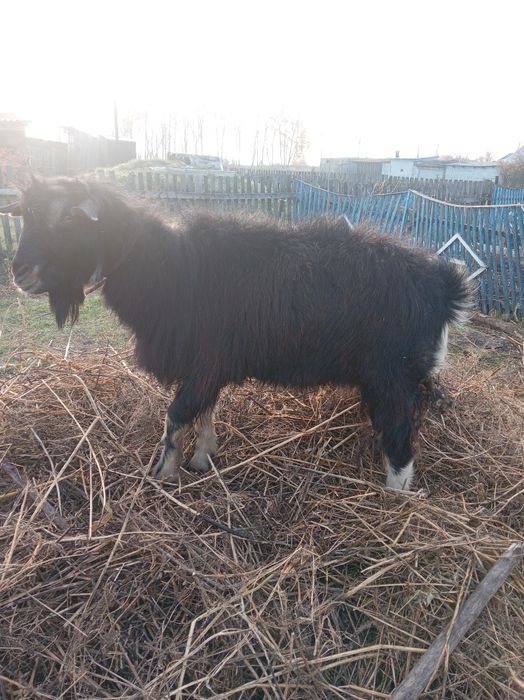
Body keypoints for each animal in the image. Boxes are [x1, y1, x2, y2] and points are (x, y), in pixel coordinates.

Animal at [3, 177, 470, 490]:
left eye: (67, 217)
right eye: (27, 216)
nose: (19, 272)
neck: (169, 269)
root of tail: (444, 284)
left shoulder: (206, 362)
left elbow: (177, 415)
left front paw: (164, 473)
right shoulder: (207, 365)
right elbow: (204, 410)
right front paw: (202, 457)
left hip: (393, 378)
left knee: (402, 445)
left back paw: (393, 499)